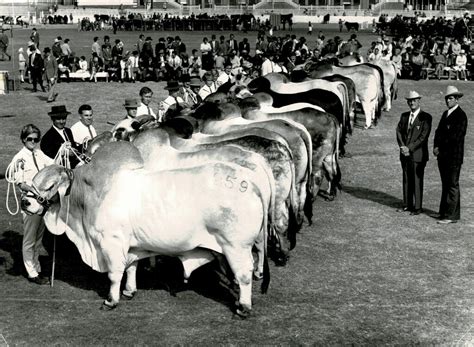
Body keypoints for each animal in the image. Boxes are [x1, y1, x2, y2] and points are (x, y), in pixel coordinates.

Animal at [21, 141, 270, 318]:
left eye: (50, 186)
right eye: (32, 180)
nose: (25, 202)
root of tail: (251, 182)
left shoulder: (112, 242)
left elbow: (114, 274)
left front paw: (111, 301)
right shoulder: (130, 245)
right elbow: (131, 268)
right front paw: (129, 291)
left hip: (236, 246)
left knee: (244, 274)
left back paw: (243, 307)